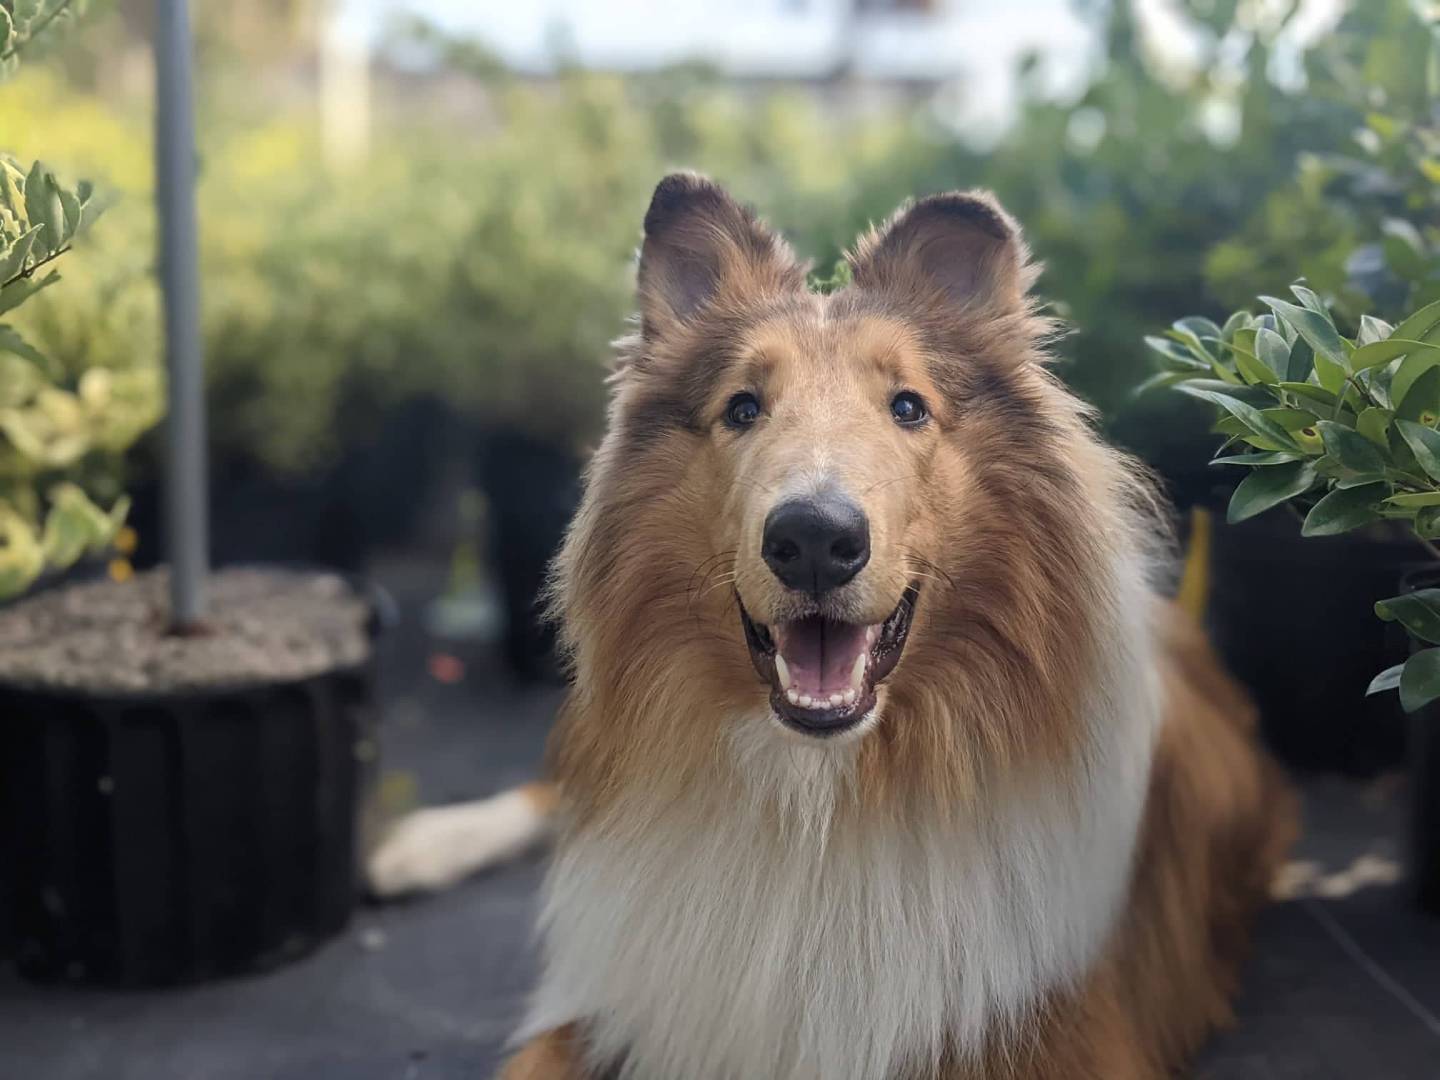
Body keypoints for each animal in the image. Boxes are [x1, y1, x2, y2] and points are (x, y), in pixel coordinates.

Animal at [368, 177, 1296, 1080]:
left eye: (909, 407)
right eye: (743, 407)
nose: (814, 539)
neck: (822, 800)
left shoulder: (1066, 1034)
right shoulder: (628, 1003)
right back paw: (417, 845)